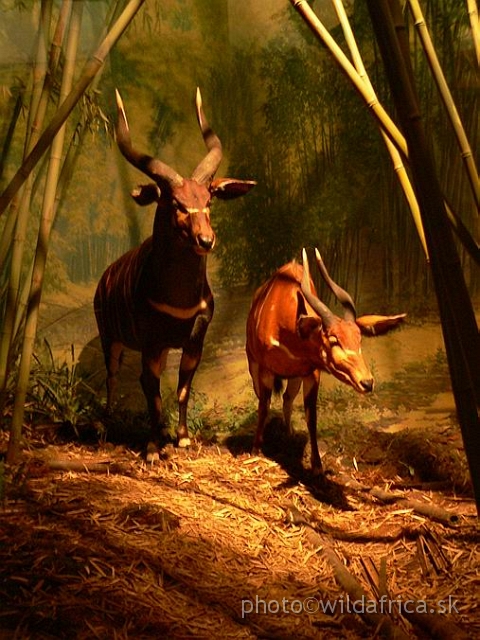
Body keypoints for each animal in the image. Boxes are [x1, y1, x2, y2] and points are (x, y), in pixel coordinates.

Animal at [95, 89, 256, 460]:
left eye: (208, 200)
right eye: (175, 203)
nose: (206, 240)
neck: (178, 300)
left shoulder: (194, 338)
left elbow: (182, 388)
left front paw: (181, 438)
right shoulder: (150, 342)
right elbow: (152, 392)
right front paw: (154, 446)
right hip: (110, 337)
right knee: (112, 376)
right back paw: (108, 423)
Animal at [246, 250, 406, 476]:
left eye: (359, 339)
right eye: (333, 340)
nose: (367, 382)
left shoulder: (311, 373)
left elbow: (311, 417)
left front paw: (317, 465)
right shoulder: (265, 370)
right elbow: (263, 406)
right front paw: (256, 450)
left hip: (295, 377)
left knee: (287, 398)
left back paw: (289, 433)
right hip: (253, 363)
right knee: (266, 400)